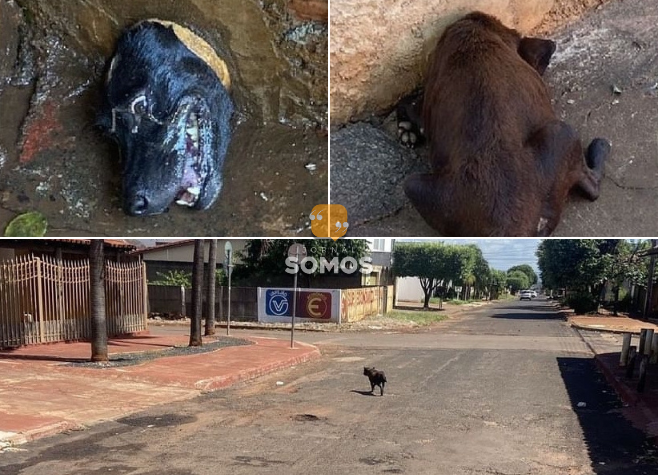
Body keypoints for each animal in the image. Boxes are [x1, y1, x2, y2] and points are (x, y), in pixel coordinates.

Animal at [402, 13, 608, 238]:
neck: (477, 32)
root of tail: (505, 224)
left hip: (413, 184)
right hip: (563, 132)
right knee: (592, 186)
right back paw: (601, 146)